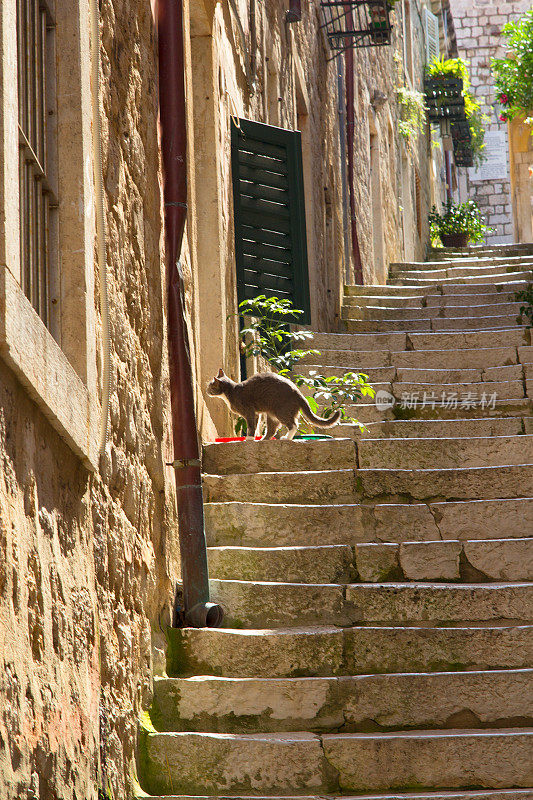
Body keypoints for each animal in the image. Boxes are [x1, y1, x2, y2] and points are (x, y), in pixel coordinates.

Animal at [206, 368, 338, 438]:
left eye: (210, 387)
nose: (206, 390)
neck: (231, 392)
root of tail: (298, 393)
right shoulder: (257, 414)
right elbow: (256, 426)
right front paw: (253, 438)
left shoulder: (249, 411)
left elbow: (251, 426)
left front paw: (249, 438)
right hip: (271, 414)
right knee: (272, 430)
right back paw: (264, 439)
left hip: (281, 411)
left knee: (294, 424)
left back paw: (286, 438)